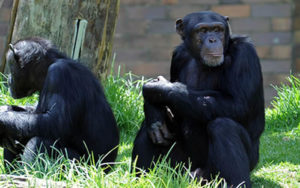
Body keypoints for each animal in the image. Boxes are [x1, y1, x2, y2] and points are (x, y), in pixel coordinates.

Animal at [0, 36, 119, 169]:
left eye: (11, 68)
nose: (8, 79)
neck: (46, 70)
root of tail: (108, 168)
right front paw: (6, 109)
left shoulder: (60, 74)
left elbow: (56, 122)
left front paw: (1, 116)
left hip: (79, 166)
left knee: (39, 142)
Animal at [132, 11, 264, 187]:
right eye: (202, 31)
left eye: (218, 30)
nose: (213, 39)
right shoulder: (178, 55)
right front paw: (152, 107)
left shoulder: (245, 54)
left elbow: (239, 103)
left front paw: (158, 88)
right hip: (178, 169)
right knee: (149, 128)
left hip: (220, 171)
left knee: (223, 127)